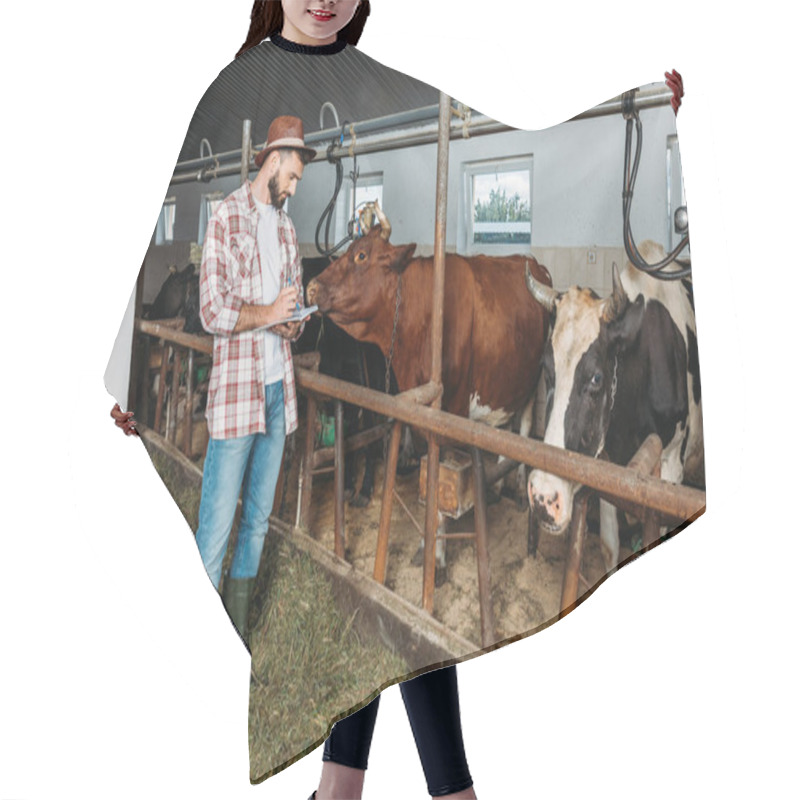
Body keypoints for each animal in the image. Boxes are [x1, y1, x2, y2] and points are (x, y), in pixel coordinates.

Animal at [524, 239, 700, 568]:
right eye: (545, 367)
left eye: (596, 377)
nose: (543, 497)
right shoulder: (606, 462)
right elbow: (609, 545)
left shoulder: (672, 463)